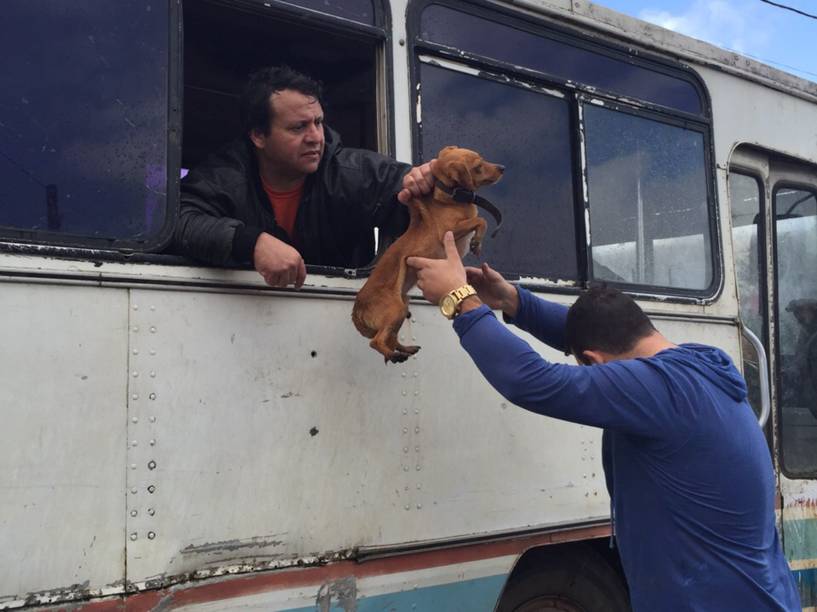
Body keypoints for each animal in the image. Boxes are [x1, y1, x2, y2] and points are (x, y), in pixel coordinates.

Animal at [352, 145, 504, 360]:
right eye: (478, 166)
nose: (502, 168)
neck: (452, 197)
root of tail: (357, 310)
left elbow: (479, 221)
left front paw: (477, 244)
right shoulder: (448, 231)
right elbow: (481, 220)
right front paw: (476, 242)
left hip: (402, 306)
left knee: (390, 338)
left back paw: (404, 350)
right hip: (396, 308)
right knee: (377, 341)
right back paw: (394, 355)